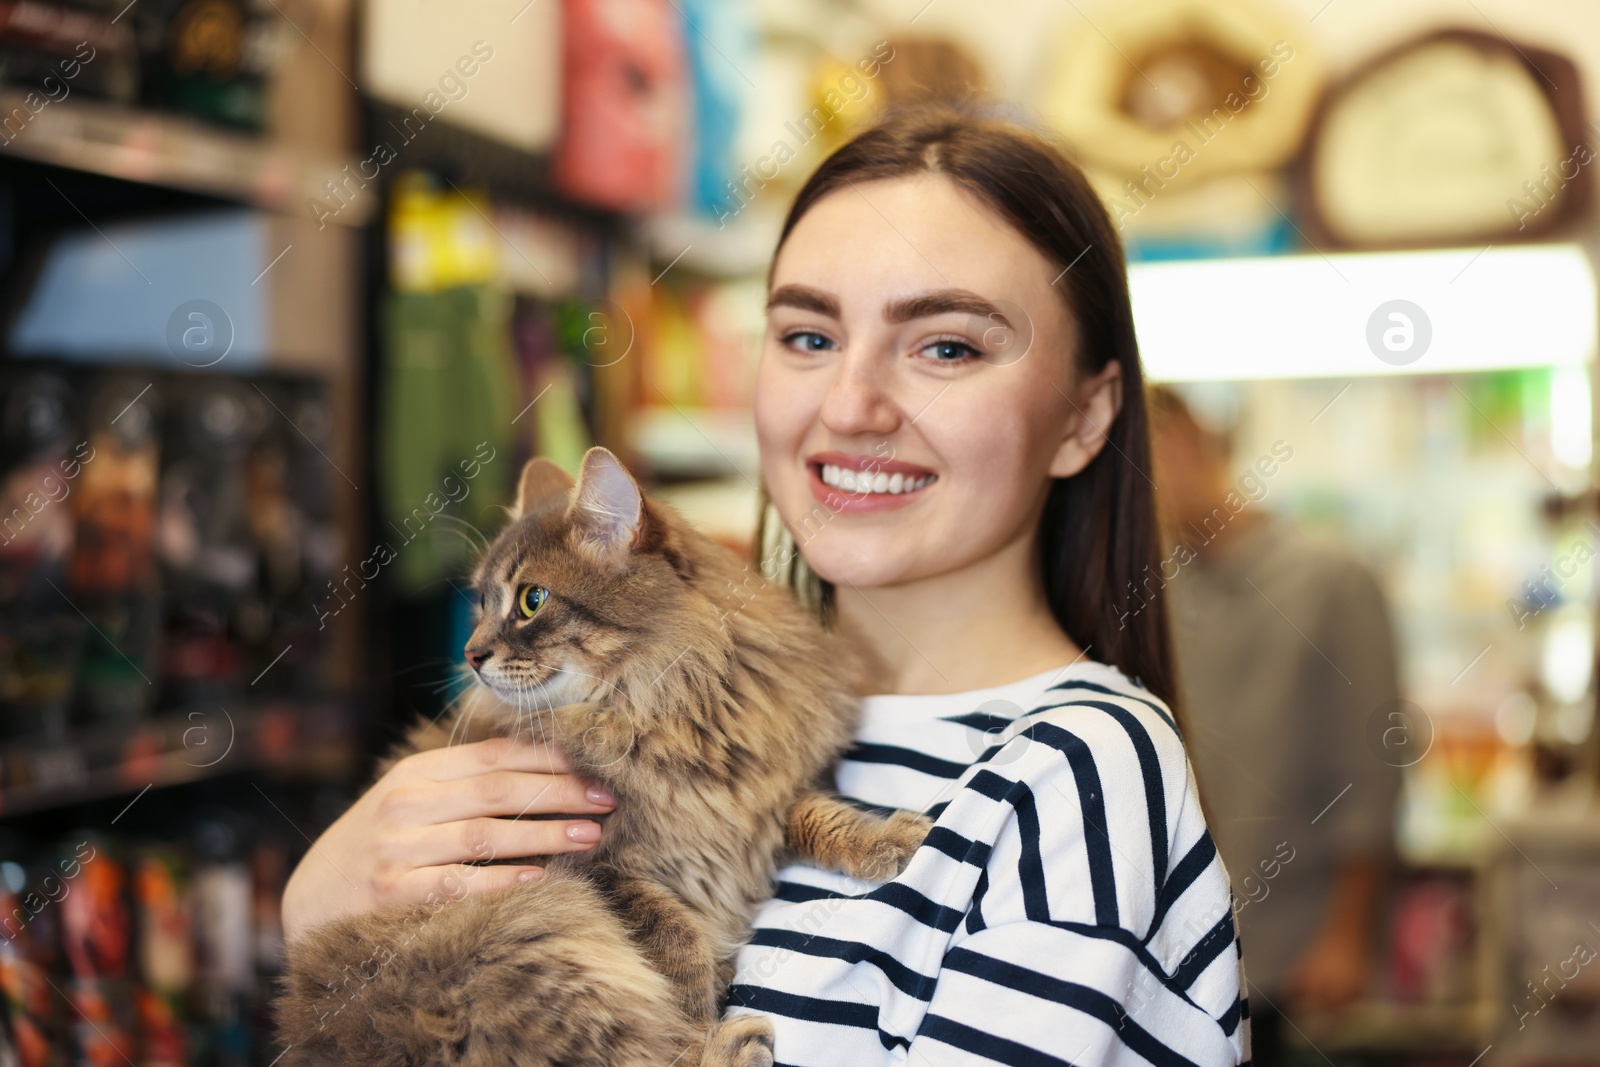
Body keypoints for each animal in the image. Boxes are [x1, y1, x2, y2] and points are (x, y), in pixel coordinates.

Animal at [272, 451, 928, 1067]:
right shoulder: (587, 870)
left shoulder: (756, 798)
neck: (658, 712)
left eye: (531, 600)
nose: (471, 654)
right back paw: (728, 1047)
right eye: (481, 603)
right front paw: (699, 1021)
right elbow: (677, 944)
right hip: (538, 928)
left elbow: (820, 813)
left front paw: (891, 840)